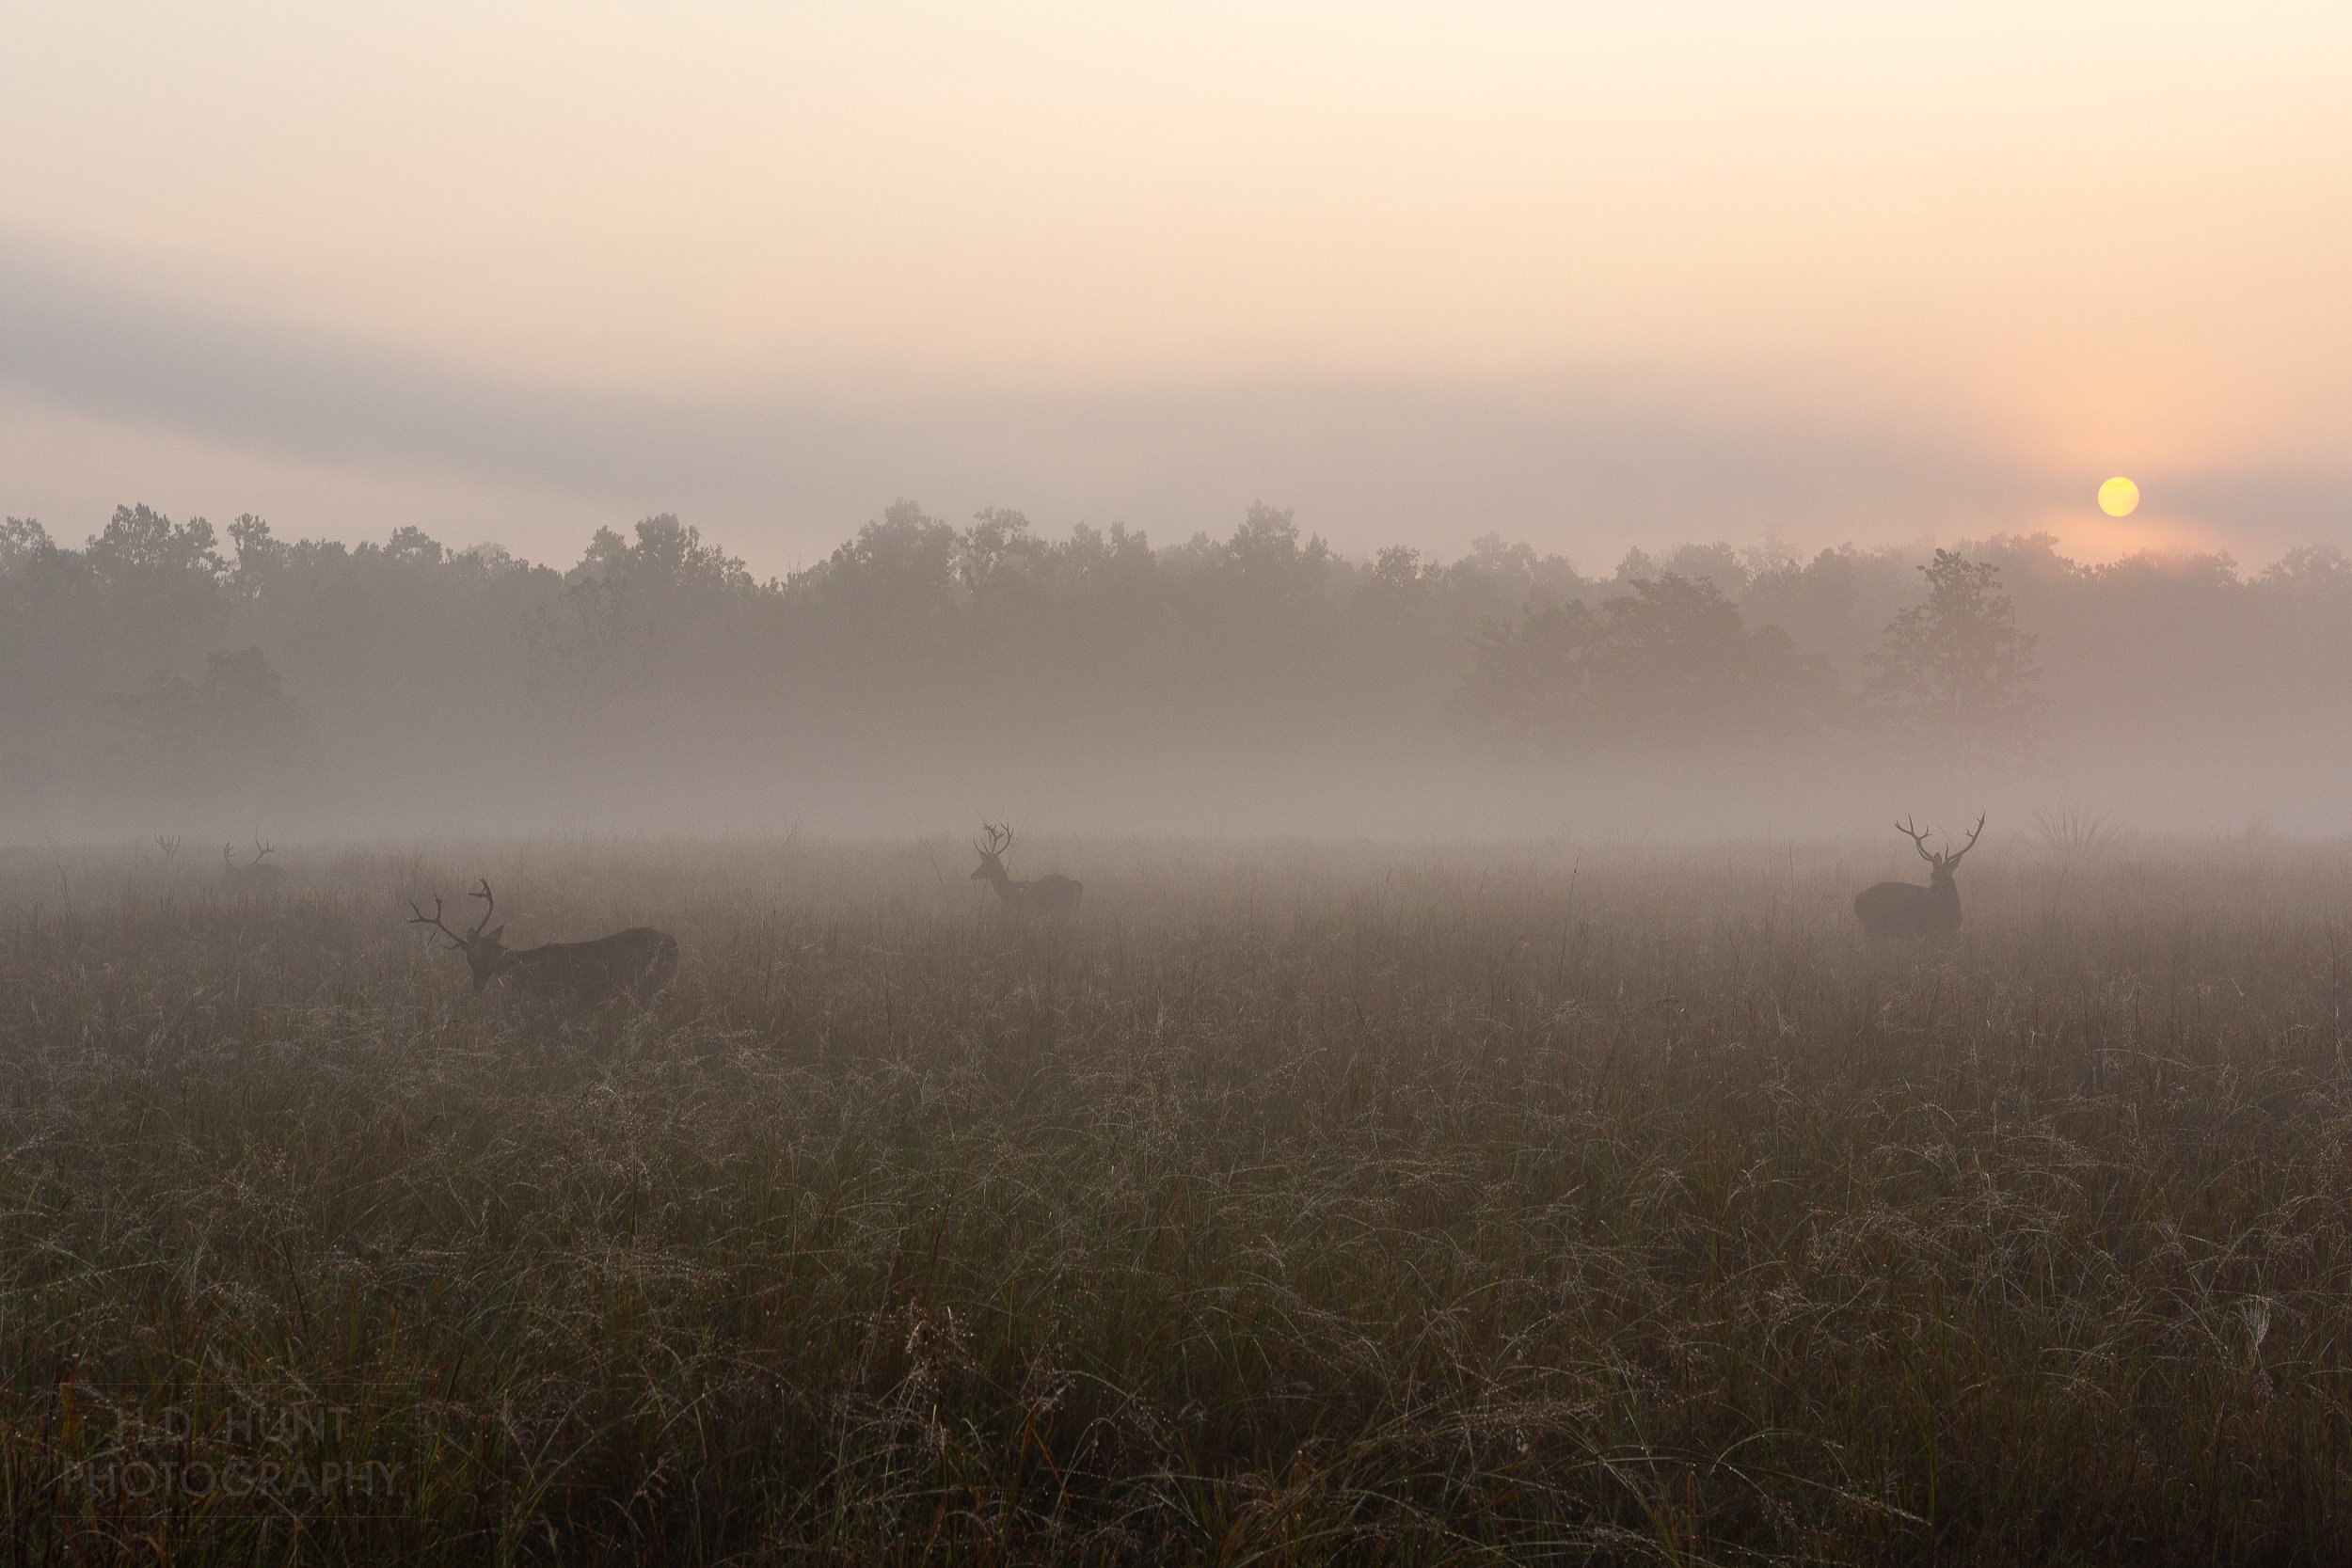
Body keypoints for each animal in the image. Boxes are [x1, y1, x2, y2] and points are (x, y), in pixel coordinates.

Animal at [409, 880, 678, 1001]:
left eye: (474, 956)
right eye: (468, 958)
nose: (477, 986)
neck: (525, 970)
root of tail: (674, 942)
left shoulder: (553, 995)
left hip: (654, 980)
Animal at [1853, 814, 1984, 939]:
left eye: (1947, 874)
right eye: (1932, 874)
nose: (1933, 887)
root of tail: (1856, 900)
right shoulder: (1928, 930)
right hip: (1872, 925)